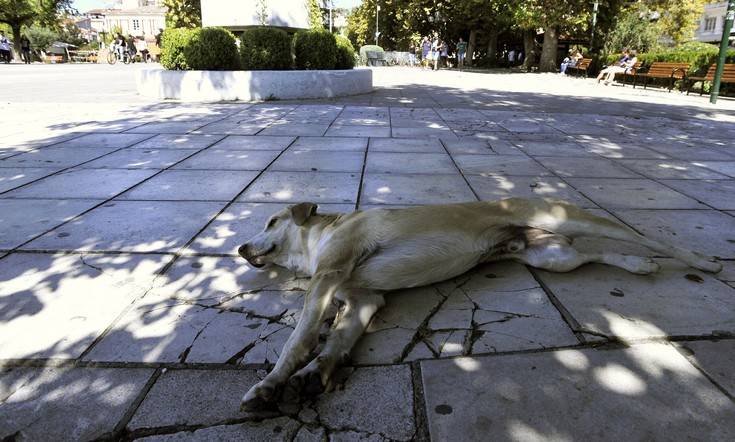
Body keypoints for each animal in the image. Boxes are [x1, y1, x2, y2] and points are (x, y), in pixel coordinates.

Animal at [239, 199, 720, 410]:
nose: (241, 248)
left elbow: (300, 339)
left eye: (271, 220)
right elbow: (336, 342)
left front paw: (273, 382)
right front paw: (315, 373)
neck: (316, 243)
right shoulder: (362, 301)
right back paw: (638, 266)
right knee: (594, 255)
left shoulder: (329, 277)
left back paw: (703, 260)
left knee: (643, 237)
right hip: (553, 257)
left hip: (577, 222)